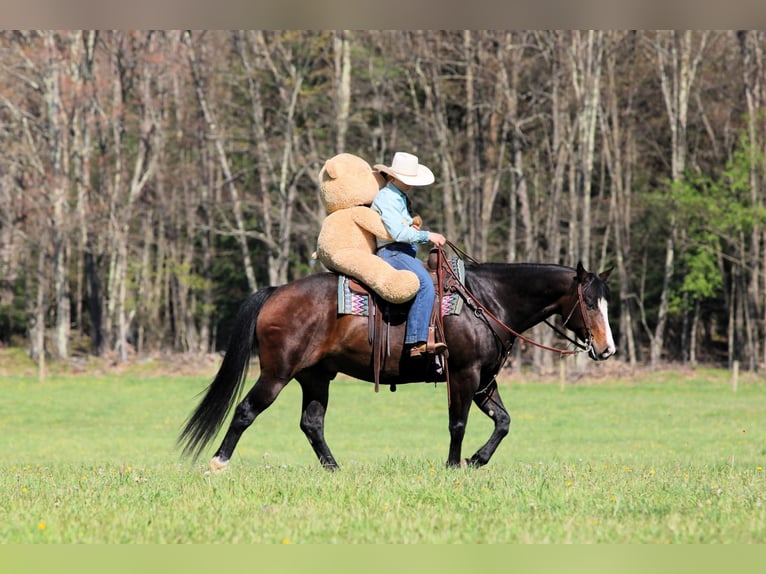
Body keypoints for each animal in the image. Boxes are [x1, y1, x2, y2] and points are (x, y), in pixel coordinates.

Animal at [178, 254, 615, 471]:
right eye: (589, 302)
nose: (606, 348)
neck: (486, 302)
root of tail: (276, 292)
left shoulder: (484, 380)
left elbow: (504, 422)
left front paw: (477, 460)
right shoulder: (464, 374)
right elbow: (458, 423)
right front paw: (454, 465)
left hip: (316, 377)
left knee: (311, 423)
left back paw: (335, 469)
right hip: (276, 373)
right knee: (246, 411)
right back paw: (218, 462)